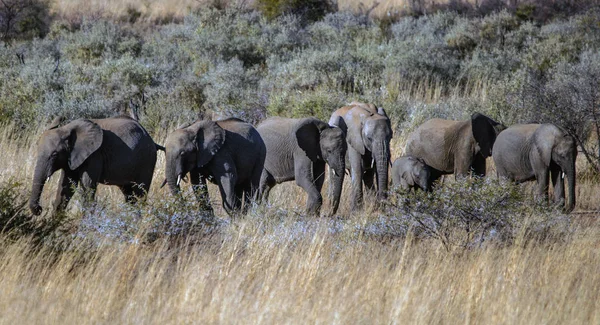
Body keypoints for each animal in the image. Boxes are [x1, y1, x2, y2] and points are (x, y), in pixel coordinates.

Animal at [29, 116, 161, 215]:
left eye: (54, 154)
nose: (40, 209)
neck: (66, 129)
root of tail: (152, 141)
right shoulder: (70, 159)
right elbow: (65, 188)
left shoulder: (94, 156)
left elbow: (87, 189)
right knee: (130, 196)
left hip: (147, 161)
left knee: (140, 195)